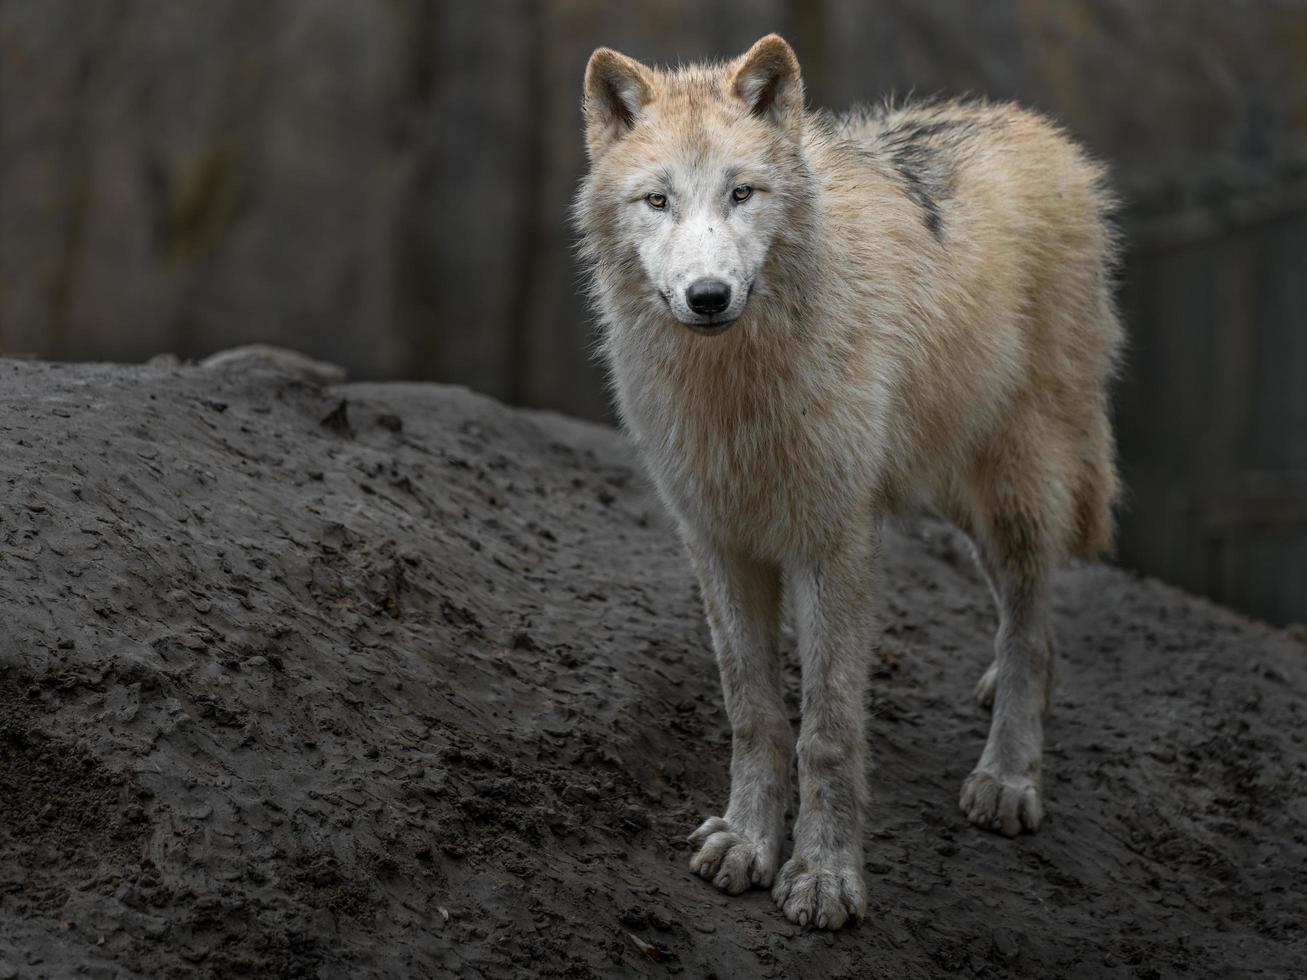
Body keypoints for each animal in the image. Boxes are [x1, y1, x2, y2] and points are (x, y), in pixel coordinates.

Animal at [572, 34, 1124, 930]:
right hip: (951, 491)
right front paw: (747, 842)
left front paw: (824, 876)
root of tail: (1036, 131)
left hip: (1014, 488)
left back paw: (1007, 777)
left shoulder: (835, 545)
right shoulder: (717, 542)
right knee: (1022, 619)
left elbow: (826, 732)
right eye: (656, 200)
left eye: (742, 193)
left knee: (1030, 623)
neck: (736, 389)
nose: (707, 296)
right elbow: (754, 712)